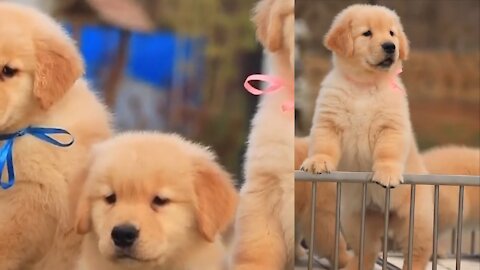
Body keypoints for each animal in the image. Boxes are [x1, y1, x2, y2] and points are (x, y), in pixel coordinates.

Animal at [302, 4, 434, 270]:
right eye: (367, 33)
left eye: (392, 33)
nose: (390, 46)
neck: (364, 85)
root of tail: (385, 215)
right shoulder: (329, 121)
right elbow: (324, 144)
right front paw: (318, 162)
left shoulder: (391, 127)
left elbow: (387, 153)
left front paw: (387, 174)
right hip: (355, 219)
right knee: (367, 250)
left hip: (418, 220)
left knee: (416, 253)